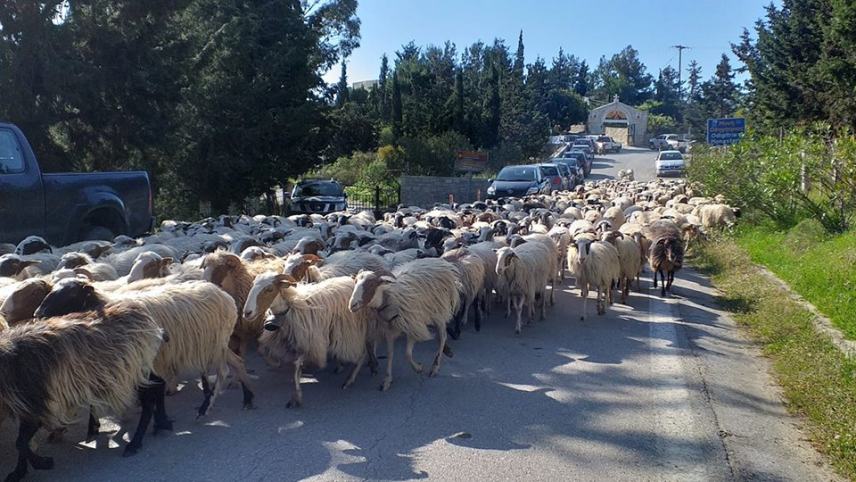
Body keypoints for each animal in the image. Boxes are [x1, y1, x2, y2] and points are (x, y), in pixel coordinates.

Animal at [0, 302, 166, 478]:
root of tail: (148, 319)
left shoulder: (38, 405)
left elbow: (20, 443)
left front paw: (42, 463)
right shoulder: (26, 409)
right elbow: (22, 442)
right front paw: (19, 471)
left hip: (133, 370)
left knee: (149, 400)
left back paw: (135, 443)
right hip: (138, 369)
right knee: (159, 384)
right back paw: (162, 423)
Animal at [34, 278, 254, 418]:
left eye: (71, 292)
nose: (37, 313)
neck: (104, 305)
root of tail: (226, 297)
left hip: (213, 344)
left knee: (224, 370)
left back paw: (206, 407)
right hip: (218, 343)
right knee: (237, 362)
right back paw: (247, 398)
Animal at [242, 274, 372, 406]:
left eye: (269, 289)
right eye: (252, 285)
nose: (247, 313)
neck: (291, 309)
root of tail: (350, 280)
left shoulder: (309, 342)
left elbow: (296, 366)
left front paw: (297, 396)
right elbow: (262, 351)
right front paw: (274, 363)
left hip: (350, 329)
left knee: (362, 352)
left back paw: (349, 380)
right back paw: (340, 366)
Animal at [348, 260, 462, 392]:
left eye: (371, 284)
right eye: (355, 281)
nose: (352, 305)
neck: (390, 299)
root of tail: (441, 263)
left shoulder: (413, 326)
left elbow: (407, 354)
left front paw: (418, 368)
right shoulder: (388, 332)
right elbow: (390, 354)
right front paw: (387, 380)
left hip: (439, 312)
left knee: (443, 337)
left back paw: (435, 366)